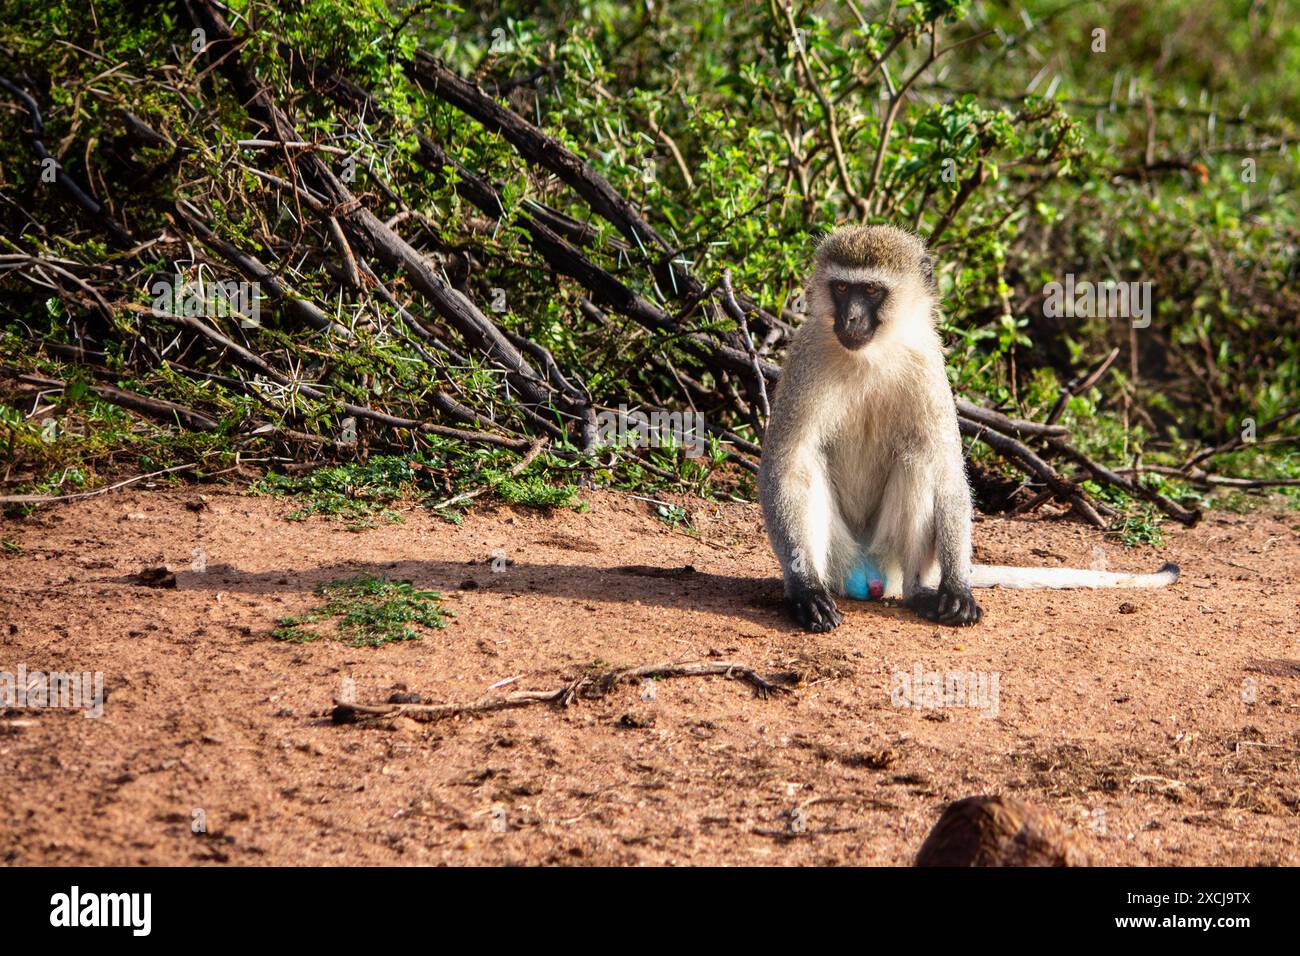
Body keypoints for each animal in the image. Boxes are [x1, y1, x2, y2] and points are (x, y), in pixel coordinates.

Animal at [759, 226, 1180, 634]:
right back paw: (816, 586)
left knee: (921, 459)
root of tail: (871, 572)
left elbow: (946, 469)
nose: (849, 320)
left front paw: (958, 586)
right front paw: (805, 590)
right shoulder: (806, 359)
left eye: (872, 291)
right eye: (843, 289)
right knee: (808, 468)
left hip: (889, 552)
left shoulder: (927, 364)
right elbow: (787, 466)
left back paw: (921, 592)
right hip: (839, 553)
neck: (873, 355)